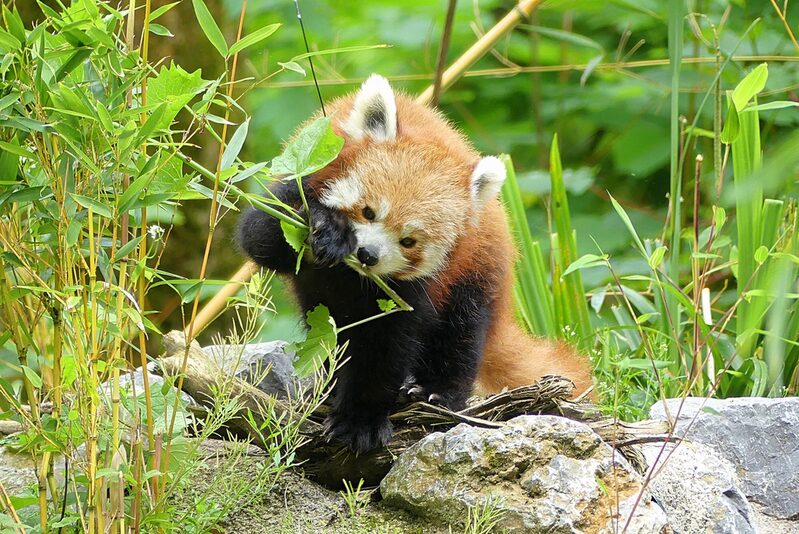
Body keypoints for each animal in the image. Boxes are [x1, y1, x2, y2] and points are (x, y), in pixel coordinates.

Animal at [238, 74, 592, 452]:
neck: (351, 275)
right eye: (368, 212)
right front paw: (328, 228)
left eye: (409, 241)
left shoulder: (415, 289)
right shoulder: (300, 176)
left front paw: (361, 420)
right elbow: (263, 235)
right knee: (329, 333)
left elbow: (385, 345)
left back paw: (437, 392)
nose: (368, 255)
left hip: (477, 276)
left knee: (461, 335)